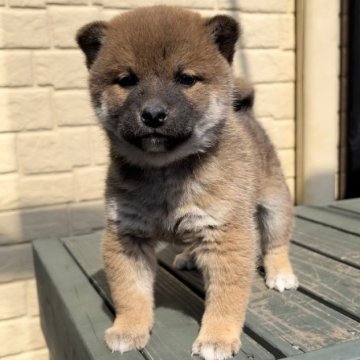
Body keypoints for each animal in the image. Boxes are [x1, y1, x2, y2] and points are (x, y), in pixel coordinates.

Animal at [76, 5, 298, 360]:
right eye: (126, 81)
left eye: (185, 79)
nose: (153, 114)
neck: (165, 171)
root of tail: (246, 112)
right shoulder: (126, 236)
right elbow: (130, 293)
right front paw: (129, 328)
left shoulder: (227, 235)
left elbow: (226, 297)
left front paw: (217, 337)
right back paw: (188, 257)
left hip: (275, 205)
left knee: (277, 243)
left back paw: (280, 274)